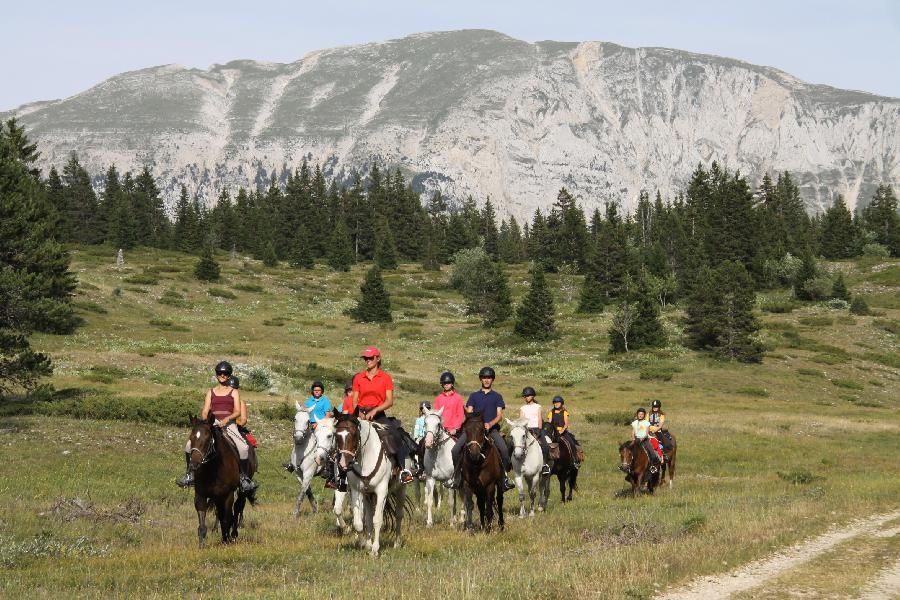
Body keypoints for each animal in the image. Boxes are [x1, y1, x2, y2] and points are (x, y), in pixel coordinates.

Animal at [183, 414, 253, 548]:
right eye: (191, 437)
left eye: (207, 438)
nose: (194, 465)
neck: (213, 468)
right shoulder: (201, 494)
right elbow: (203, 522)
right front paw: (201, 545)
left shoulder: (228, 494)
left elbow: (226, 518)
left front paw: (226, 540)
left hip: (240, 491)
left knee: (238, 507)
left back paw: (233, 534)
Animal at [332, 414, 406, 556]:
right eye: (336, 435)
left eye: (354, 434)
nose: (344, 464)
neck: (365, 457)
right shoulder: (357, 490)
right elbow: (359, 522)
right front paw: (364, 544)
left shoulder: (382, 491)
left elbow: (377, 520)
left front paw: (375, 549)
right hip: (368, 495)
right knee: (368, 518)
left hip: (401, 488)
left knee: (399, 515)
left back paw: (396, 543)